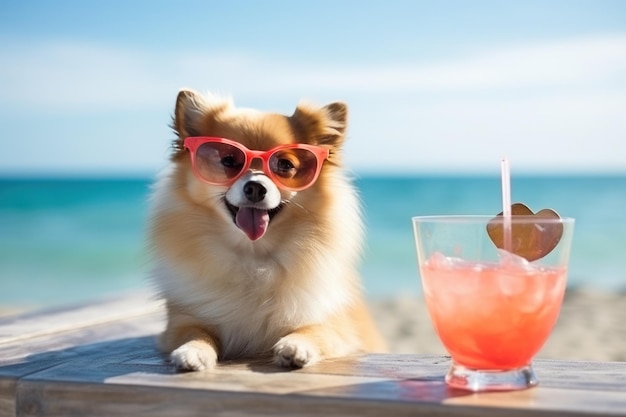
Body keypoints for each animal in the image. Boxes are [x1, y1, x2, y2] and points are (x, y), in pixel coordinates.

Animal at [150, 88, 386, 370]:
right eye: (229, 160)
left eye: (284, 165)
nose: (255, 187)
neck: (254, 257)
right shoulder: (183, 320)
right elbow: (196, 332)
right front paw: (192, 351)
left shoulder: (337, 328)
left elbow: (315, 330)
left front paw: (296, 345)